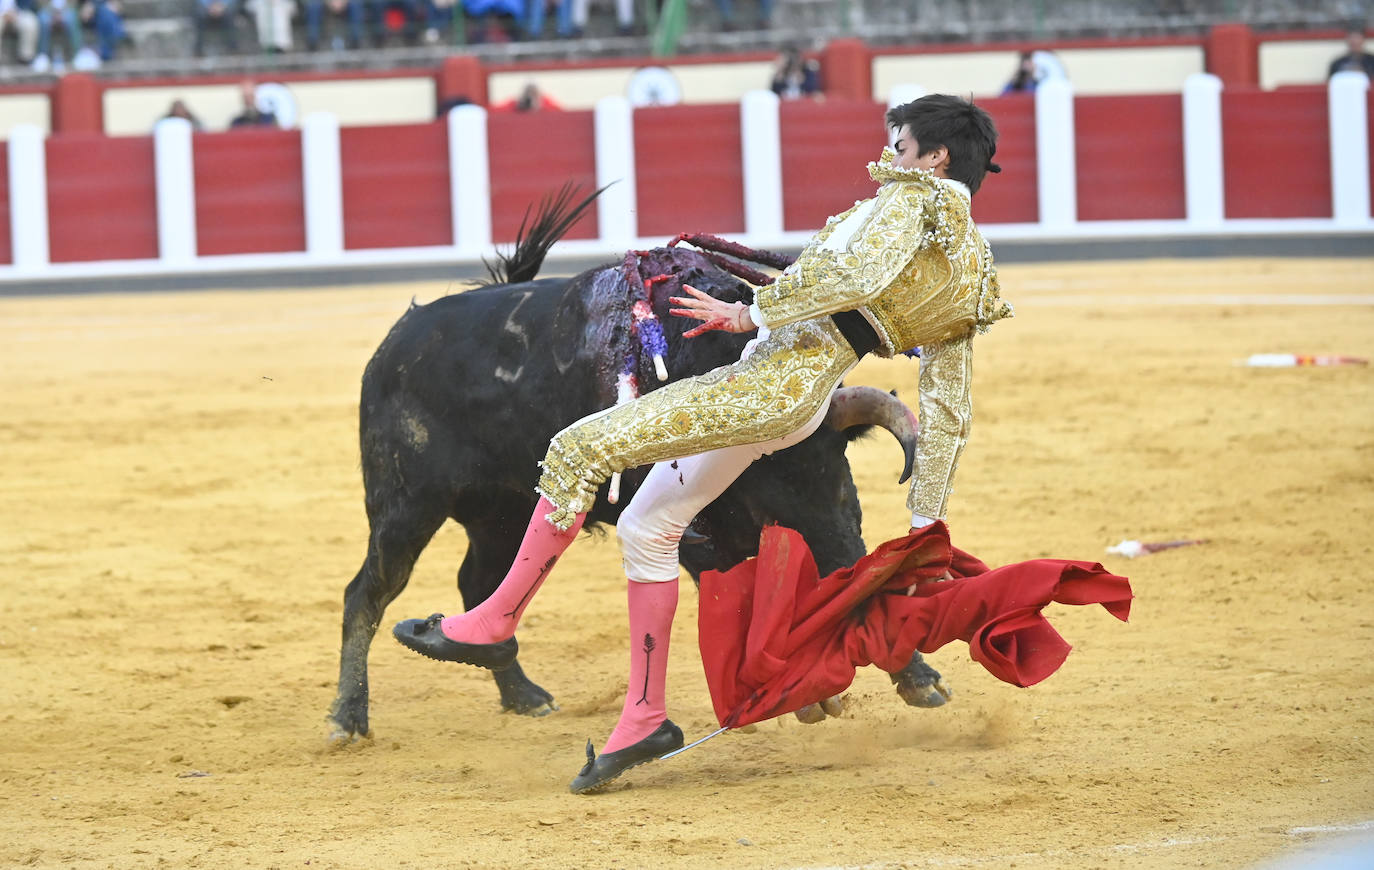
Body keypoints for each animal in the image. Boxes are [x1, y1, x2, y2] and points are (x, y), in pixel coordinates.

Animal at [322, 244, 945, 742]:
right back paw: (348, 718)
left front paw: (914, 680)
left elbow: (852, 572)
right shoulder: (701, 537)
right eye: (761, 495)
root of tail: (392, 348)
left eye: (835, 481)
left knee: (477, 581)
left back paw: (521, 692)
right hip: (405, 507)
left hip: (501, 514)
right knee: (367, 594)